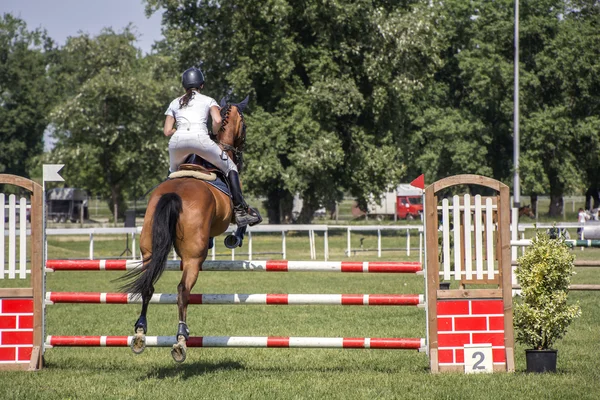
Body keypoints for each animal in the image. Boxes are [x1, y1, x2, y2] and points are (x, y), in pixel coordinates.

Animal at [122, 97, 248, 362]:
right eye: (244, 124)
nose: (242, 153)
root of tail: (174, 194)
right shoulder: (234, 204)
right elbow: (242, 219)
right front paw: (236, 236)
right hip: (193, 258)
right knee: (182, 290)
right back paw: (180, 339)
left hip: (149, 250)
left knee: (148, 285)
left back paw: (140, 333)